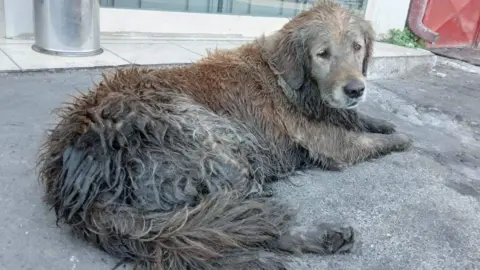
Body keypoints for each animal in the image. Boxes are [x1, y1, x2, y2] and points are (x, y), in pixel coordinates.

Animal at [36, 1, 412, 268]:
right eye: (323, 54)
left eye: (357, 47)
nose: (355, 89)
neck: (288, 78)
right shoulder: (328, 143)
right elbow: (364, 141)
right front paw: (401, 139)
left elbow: (358, 119)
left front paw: (382, 122)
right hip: (223, 144)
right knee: (251, 221)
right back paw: (324, 237)